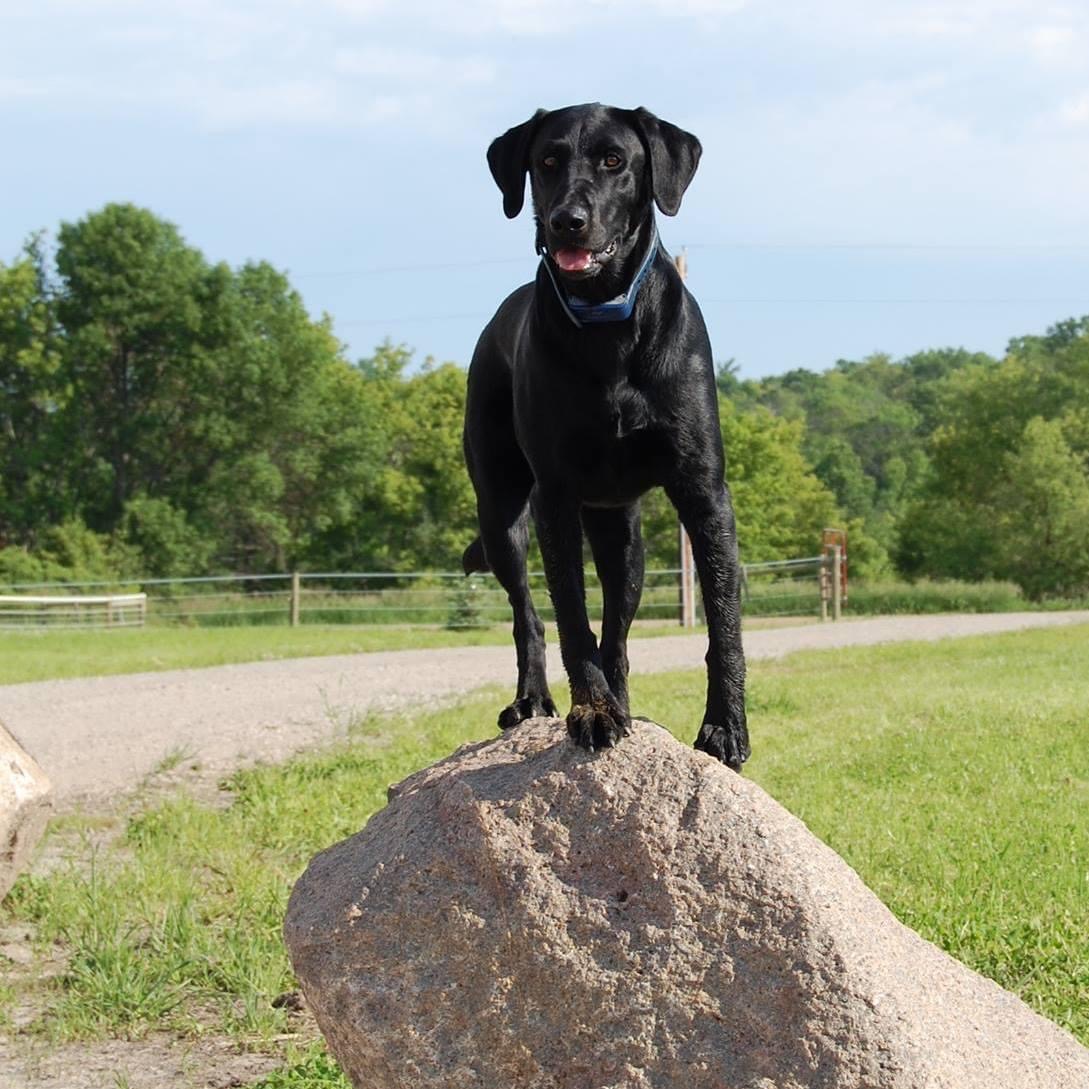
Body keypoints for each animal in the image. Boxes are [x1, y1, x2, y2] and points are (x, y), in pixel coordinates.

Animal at [459, 100, 749, 766]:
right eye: (546, 161)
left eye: (615, 160)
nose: (568, 221)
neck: (607, 323)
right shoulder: (554, 497)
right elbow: (569, 616)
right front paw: (590, 712)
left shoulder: (703, 491)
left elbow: (723, 620)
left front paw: (725, 727)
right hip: (501, 510)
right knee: (529, 615)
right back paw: (534, 700)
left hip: (624, 536)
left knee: (617, 629)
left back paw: (623, 703)